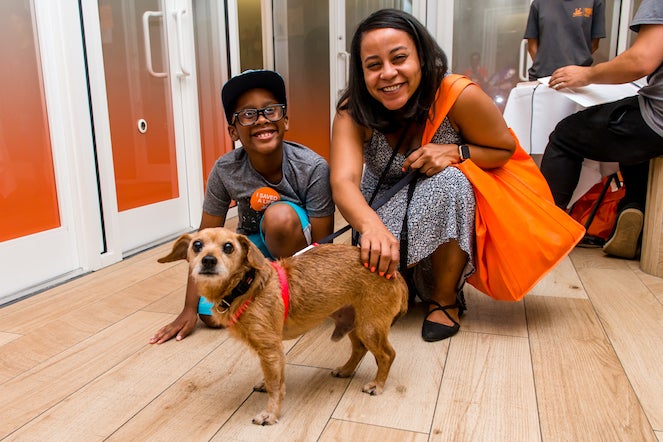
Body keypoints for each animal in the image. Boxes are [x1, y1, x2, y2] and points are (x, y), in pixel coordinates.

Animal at [160, 228, 410, 424]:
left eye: (228, 247)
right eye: (197, 245)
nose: (208, 260)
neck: (246, 287)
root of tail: (395, 274)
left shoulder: (270, 348)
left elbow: (275, 384)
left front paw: (270, 414)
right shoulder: (269, 353)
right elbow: (274, 377)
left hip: (370, 327)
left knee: (387, 354)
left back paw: (377, 384)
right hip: (355, 323)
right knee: (359, 349)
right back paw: (346, 370)